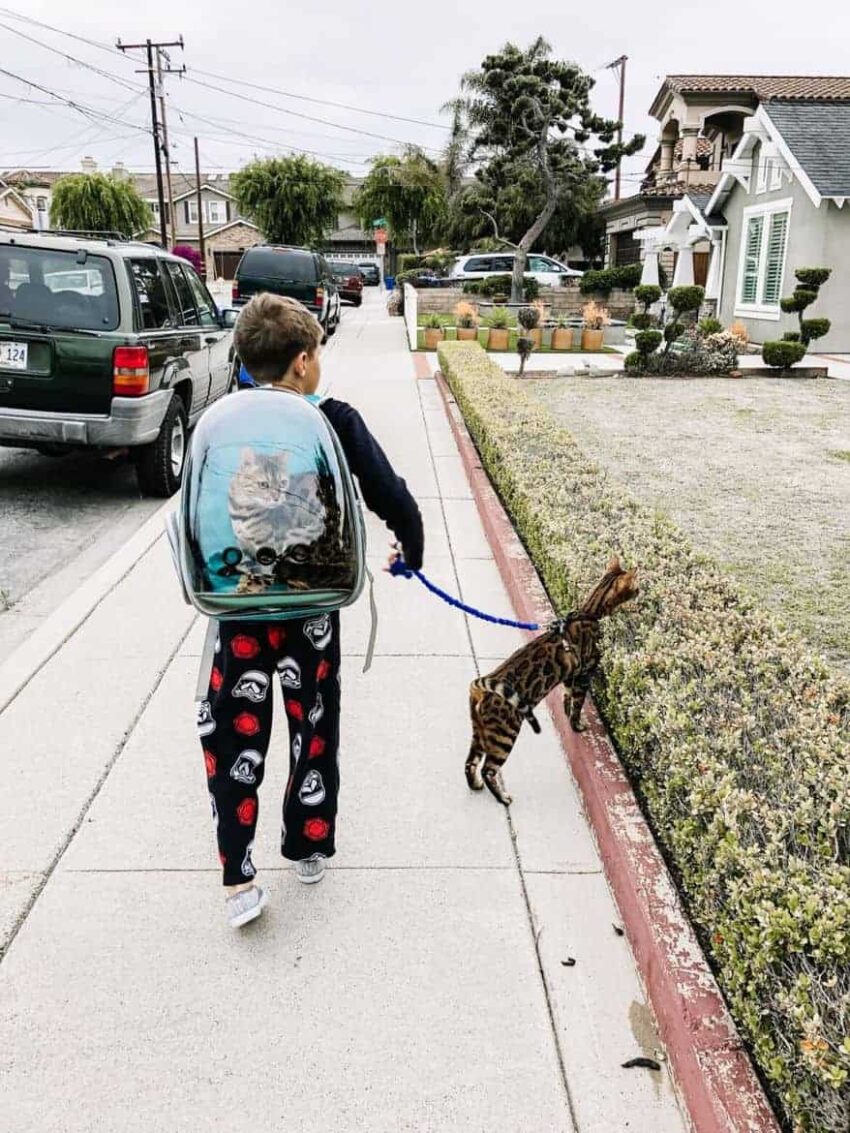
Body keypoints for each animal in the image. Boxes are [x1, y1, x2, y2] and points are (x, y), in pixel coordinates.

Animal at [466, 557, 639, 806]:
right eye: (635, 586)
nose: (640, 591)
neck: (589, 612)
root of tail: (483, 687)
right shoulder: (584, 674)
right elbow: (577, 703)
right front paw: (576, 725)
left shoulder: (571, 675)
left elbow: (567, 696)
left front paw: (566, 711)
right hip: (504, 735)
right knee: (488, 769)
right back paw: (502, 797)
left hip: (479, 732)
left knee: (469, 763)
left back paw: (476, 785)